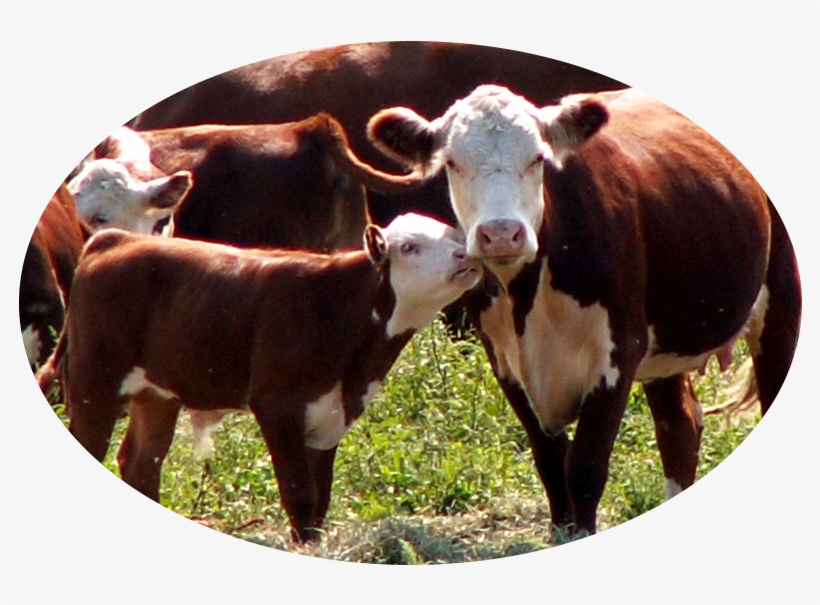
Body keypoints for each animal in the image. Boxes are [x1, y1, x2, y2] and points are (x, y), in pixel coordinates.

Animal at [35, 213, 482, 542]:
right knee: (94, 445)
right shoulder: (279, 406)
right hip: (94, 384)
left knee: (141, 464)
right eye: (409, 246)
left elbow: (320, 500)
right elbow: (301, 494)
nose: (465, 256)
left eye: (455, 234)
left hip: (157, 395)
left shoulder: (330, 417)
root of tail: (116, 238)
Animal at [365, 85, 801, 536]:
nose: (501, 233)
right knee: (679, 425)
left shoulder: (618, 352)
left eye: (538, 158)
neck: (528, 299)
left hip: (782, 305)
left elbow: (585, 469)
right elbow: (552, 467)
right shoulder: (502, 358)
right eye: (452, 162)